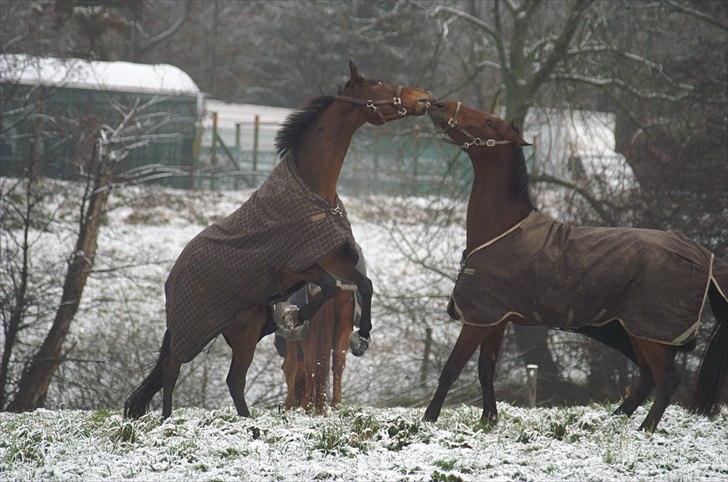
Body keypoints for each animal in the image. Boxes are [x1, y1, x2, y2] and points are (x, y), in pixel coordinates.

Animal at [125, 63, 432, 418]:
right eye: (378, 83)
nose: (425, 96)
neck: (313, 191)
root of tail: (173, 277)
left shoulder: (331, 257)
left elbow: (364, 284)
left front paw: (363, 335)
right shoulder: (296, 266)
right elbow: (328, 287)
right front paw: (296, 316)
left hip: (245, 330)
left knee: (232, 380)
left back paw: (244, 421)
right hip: (198, 330)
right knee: (173, 369)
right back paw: (167, 418)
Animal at [424, 100, 724, 432]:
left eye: (490, 124)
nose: (439, 104)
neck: (502, 228)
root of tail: (704, 256)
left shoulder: (478, 319)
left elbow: (452, 367)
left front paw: (429, 419)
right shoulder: (495, 318)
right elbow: (485, 368)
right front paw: (489, 419)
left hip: (650, 332)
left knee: (667, 379)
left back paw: (644, 429)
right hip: (637, 331)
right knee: (647, 378)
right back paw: (614, 419)